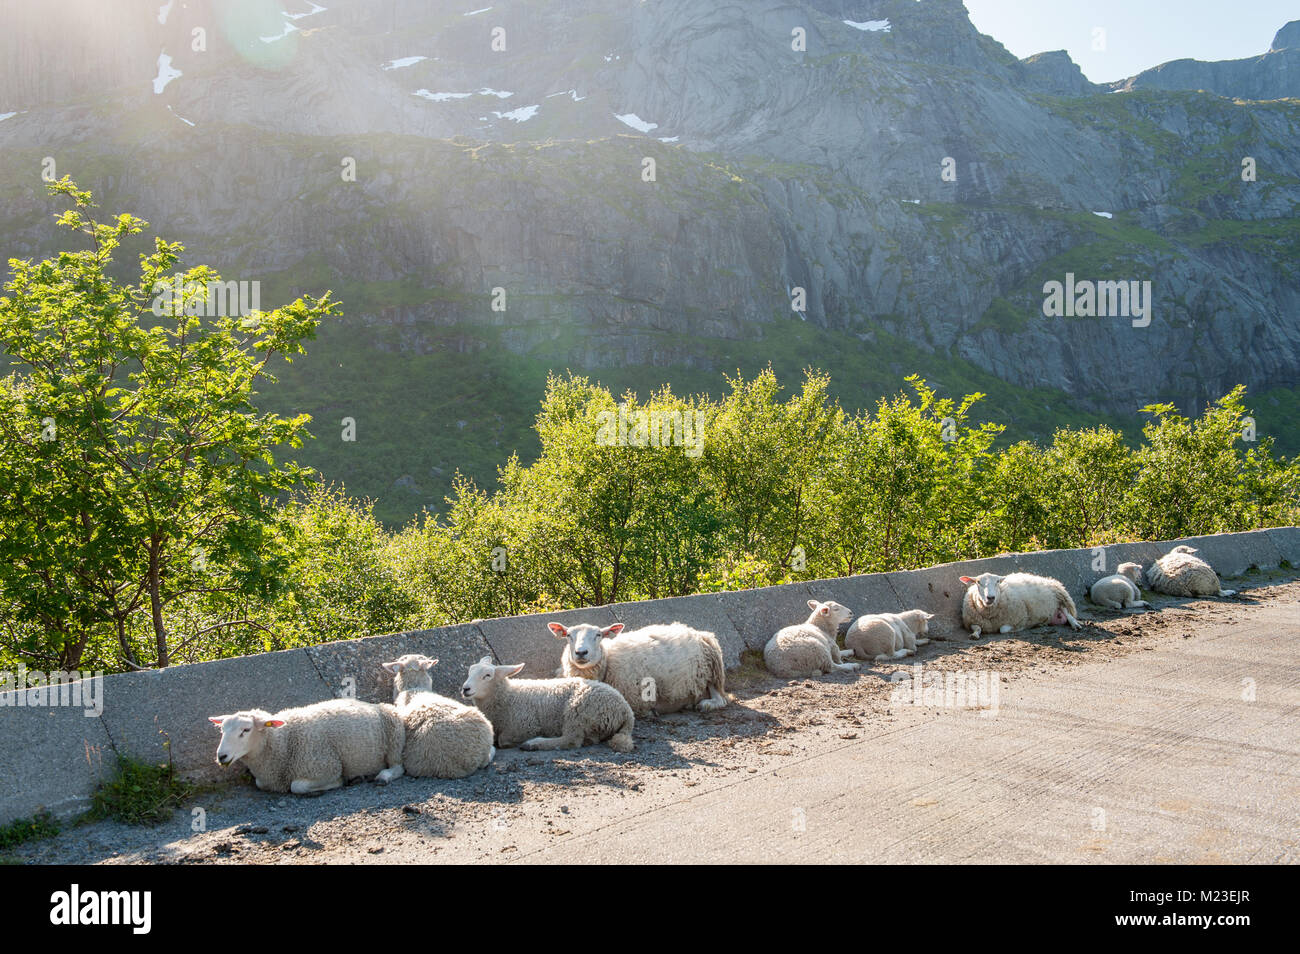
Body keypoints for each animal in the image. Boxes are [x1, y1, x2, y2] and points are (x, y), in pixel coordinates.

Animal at [208, 696, 403, 795]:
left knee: (398, 768)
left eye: (246, 730)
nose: (221, 756)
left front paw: (338, 782)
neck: (285, 740)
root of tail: (374, 704)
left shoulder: (326, 767)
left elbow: (297, 787)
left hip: (394, 740)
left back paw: (383, 776)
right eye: (222, 730)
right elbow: (259, 783)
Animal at [460, 657, 637, 753]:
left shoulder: (526, 725)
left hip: (579, 711)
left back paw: (534, 744)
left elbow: (504, 740)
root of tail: (626, 710)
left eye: (487, 675)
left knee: (571, 740)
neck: (507, 697)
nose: (465, 689)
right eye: (469, 671)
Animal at [551, 621, 733, 717]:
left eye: (598, 635)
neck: (608, 659)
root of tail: (697, 632)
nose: (581, 652)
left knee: (720, 699)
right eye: (568, 635)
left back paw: (705, 705)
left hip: (711, 671)